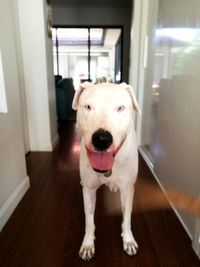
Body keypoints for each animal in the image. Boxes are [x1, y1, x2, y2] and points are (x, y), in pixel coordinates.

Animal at [72, 82, 141, 262]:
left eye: (120, 108)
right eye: (88, 106)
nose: (102, 139)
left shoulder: (128, 189)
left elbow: (127, 218)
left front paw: (128, 240)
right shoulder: (89, 191)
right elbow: (89, 220)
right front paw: (88, 244)